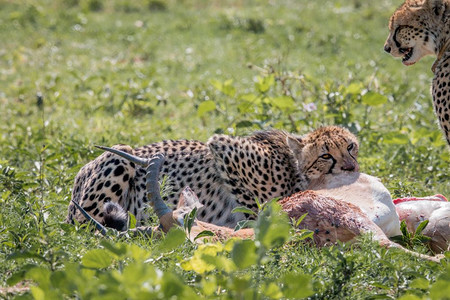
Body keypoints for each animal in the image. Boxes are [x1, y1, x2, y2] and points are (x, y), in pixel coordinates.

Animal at [66, 126, 358, 227]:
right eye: (325, 155)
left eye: (351, 146)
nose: (351, 168)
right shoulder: (224, 147)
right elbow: (252, 206)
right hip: (120, 156)